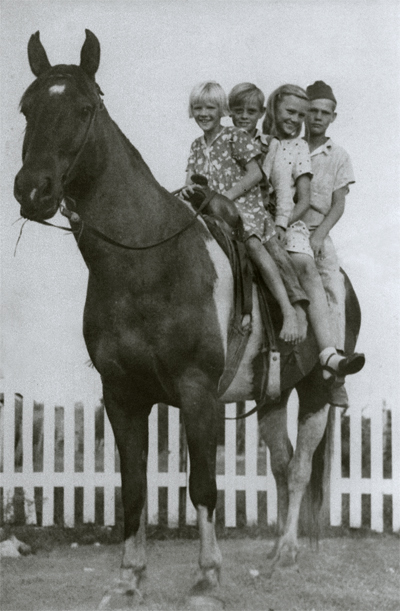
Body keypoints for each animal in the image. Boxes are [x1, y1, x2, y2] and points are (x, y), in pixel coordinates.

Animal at [12, 28, 362, 604]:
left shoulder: (197, 394)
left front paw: (207, 577)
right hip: (272, 394)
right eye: (26, 107)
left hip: (313, 390)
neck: (147, 262)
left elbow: (202, 485)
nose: (33, 190)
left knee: (300, 470)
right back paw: (274, 554)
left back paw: (289, 553)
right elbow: (133, 490)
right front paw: (128, 579)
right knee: (283, 465)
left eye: (84, 108)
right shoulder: (122, 397)